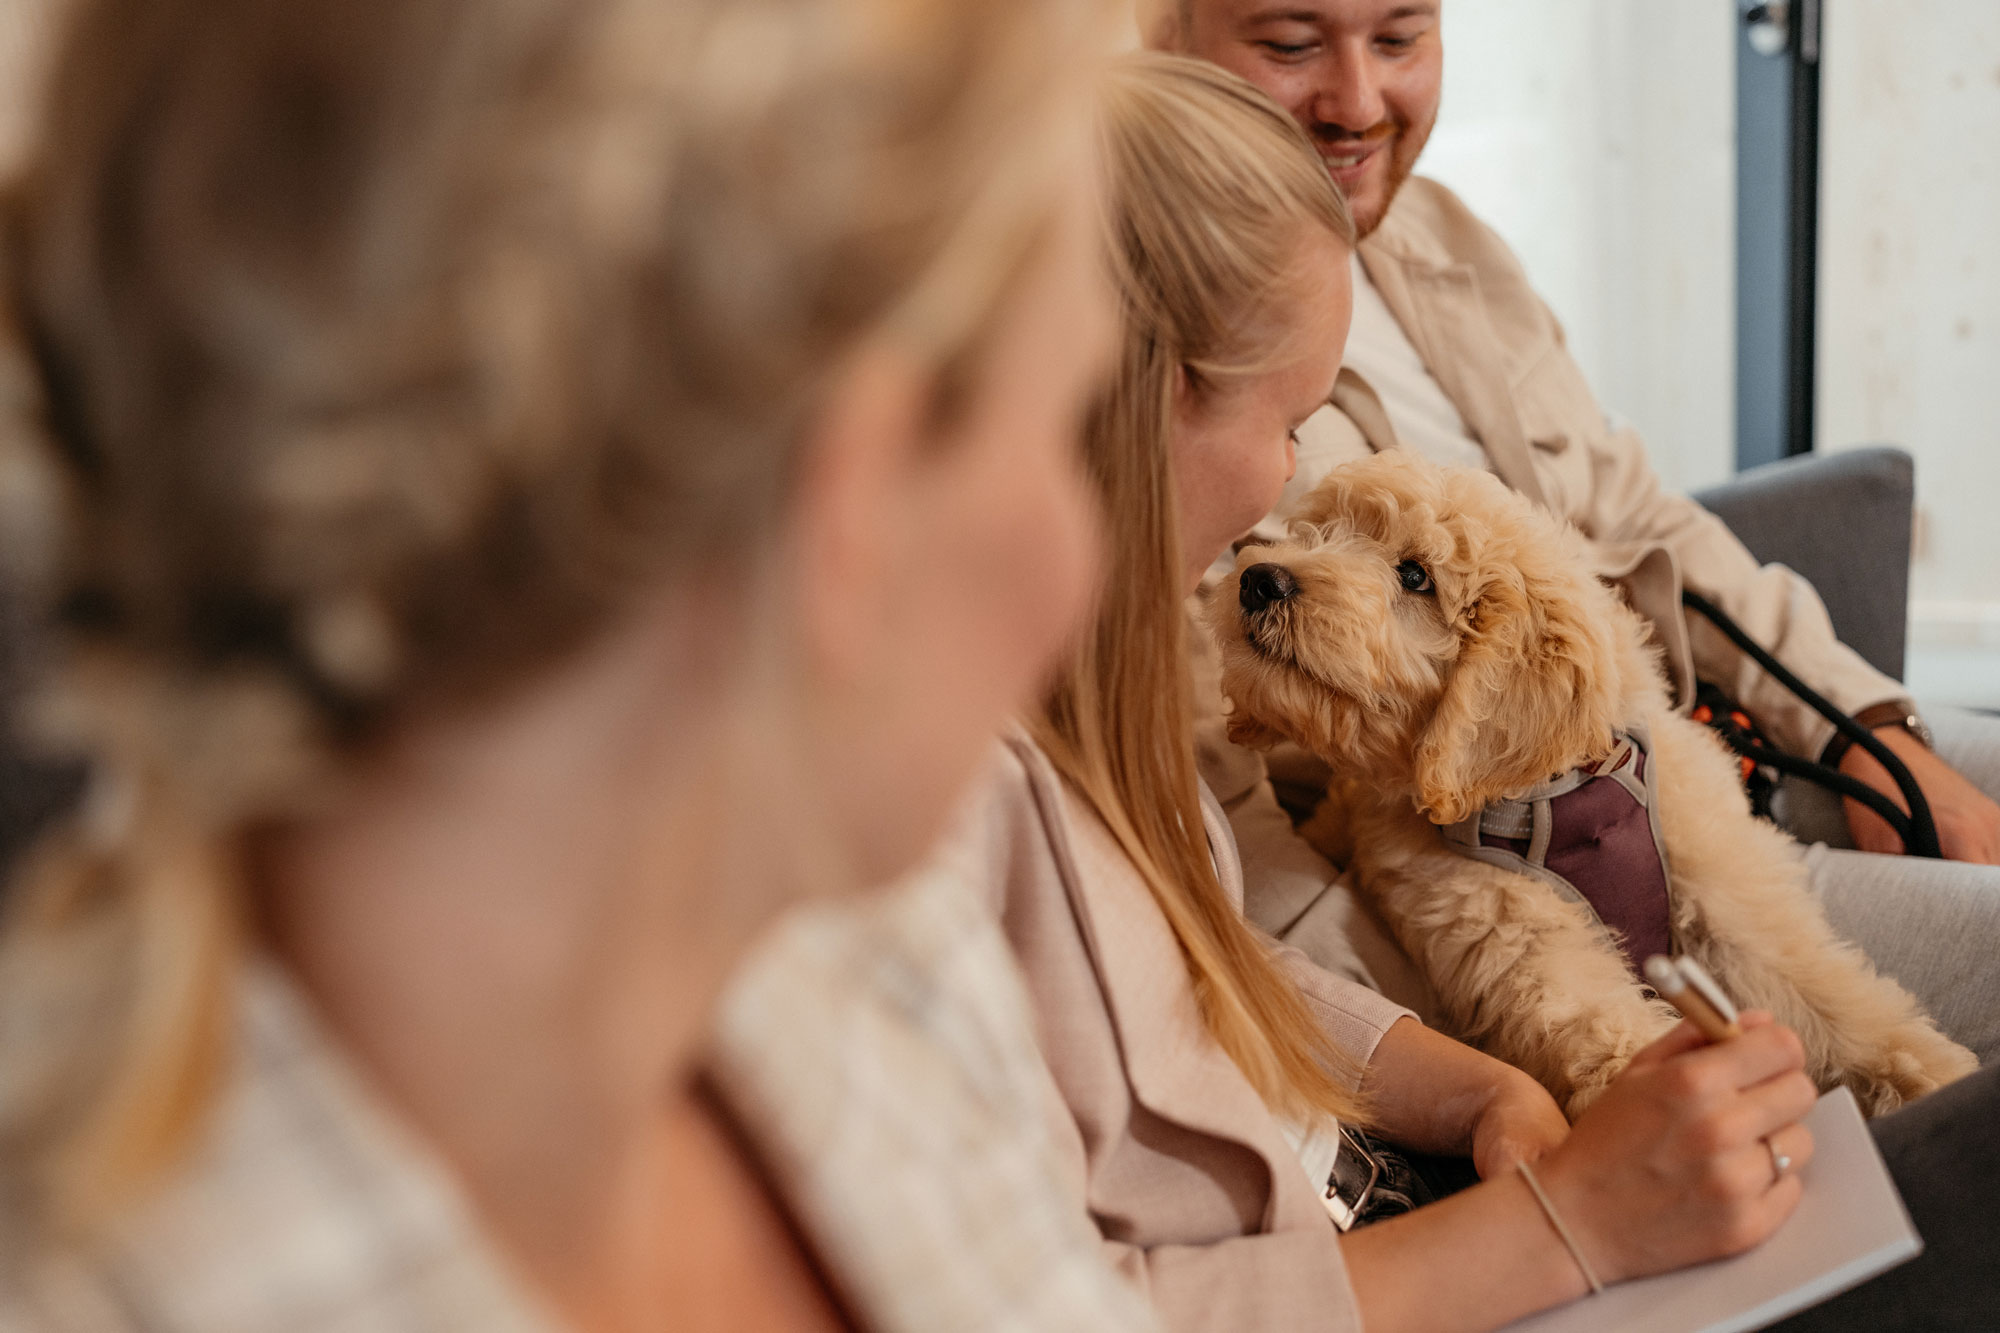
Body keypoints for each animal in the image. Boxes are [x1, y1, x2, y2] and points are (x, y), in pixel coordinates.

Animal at [1208, 452, 1976, 1112]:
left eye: (1416, 576)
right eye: (1318, 531)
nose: (1259, 579)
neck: (1560, 789)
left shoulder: (1728, 894)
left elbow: (1824, 992)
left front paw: (1932, 1073)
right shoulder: (1523, 946)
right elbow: (1604, 1028)